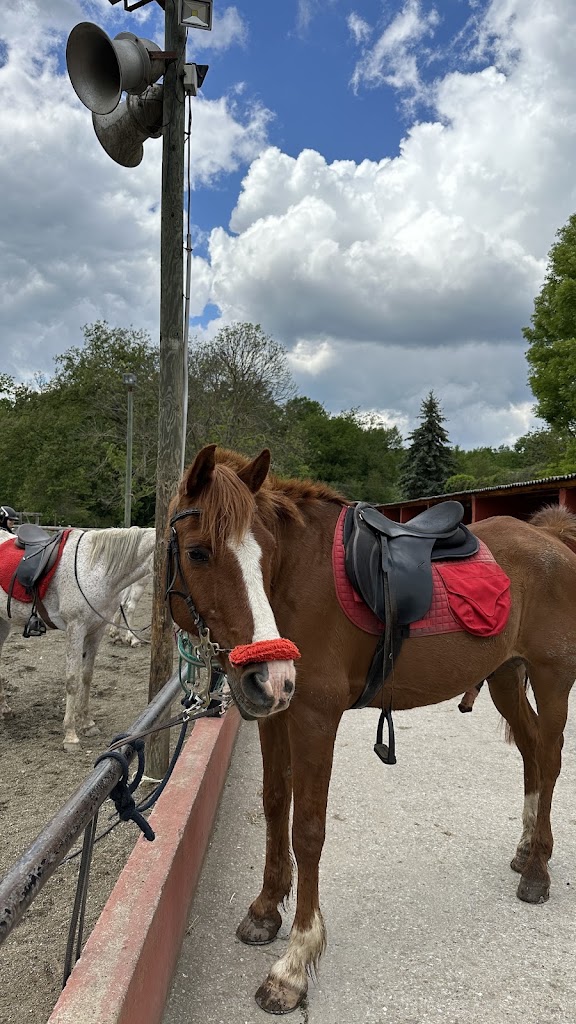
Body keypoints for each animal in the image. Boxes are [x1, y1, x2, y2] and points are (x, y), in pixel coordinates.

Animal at [0, 526, 155, 750]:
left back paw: (4, 709)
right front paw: (70, 736)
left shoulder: (96, 631)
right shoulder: (76, 628)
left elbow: (86, 676)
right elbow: (72, 680)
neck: (97, 568)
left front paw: (87, 723)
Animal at [167, 444, 576, 1014]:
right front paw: (266, 909)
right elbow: (274, 805)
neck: (296, 578)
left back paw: (538, 870)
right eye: (199, 553)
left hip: (552, 678)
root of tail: (553, 540)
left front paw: (294, 963)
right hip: (504, 677)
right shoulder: (277, 714)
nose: (270, 674)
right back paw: (527, 850)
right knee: (533, 753)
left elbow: (307, 830)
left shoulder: (314, 716)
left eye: (265, 555)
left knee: (552, 758)